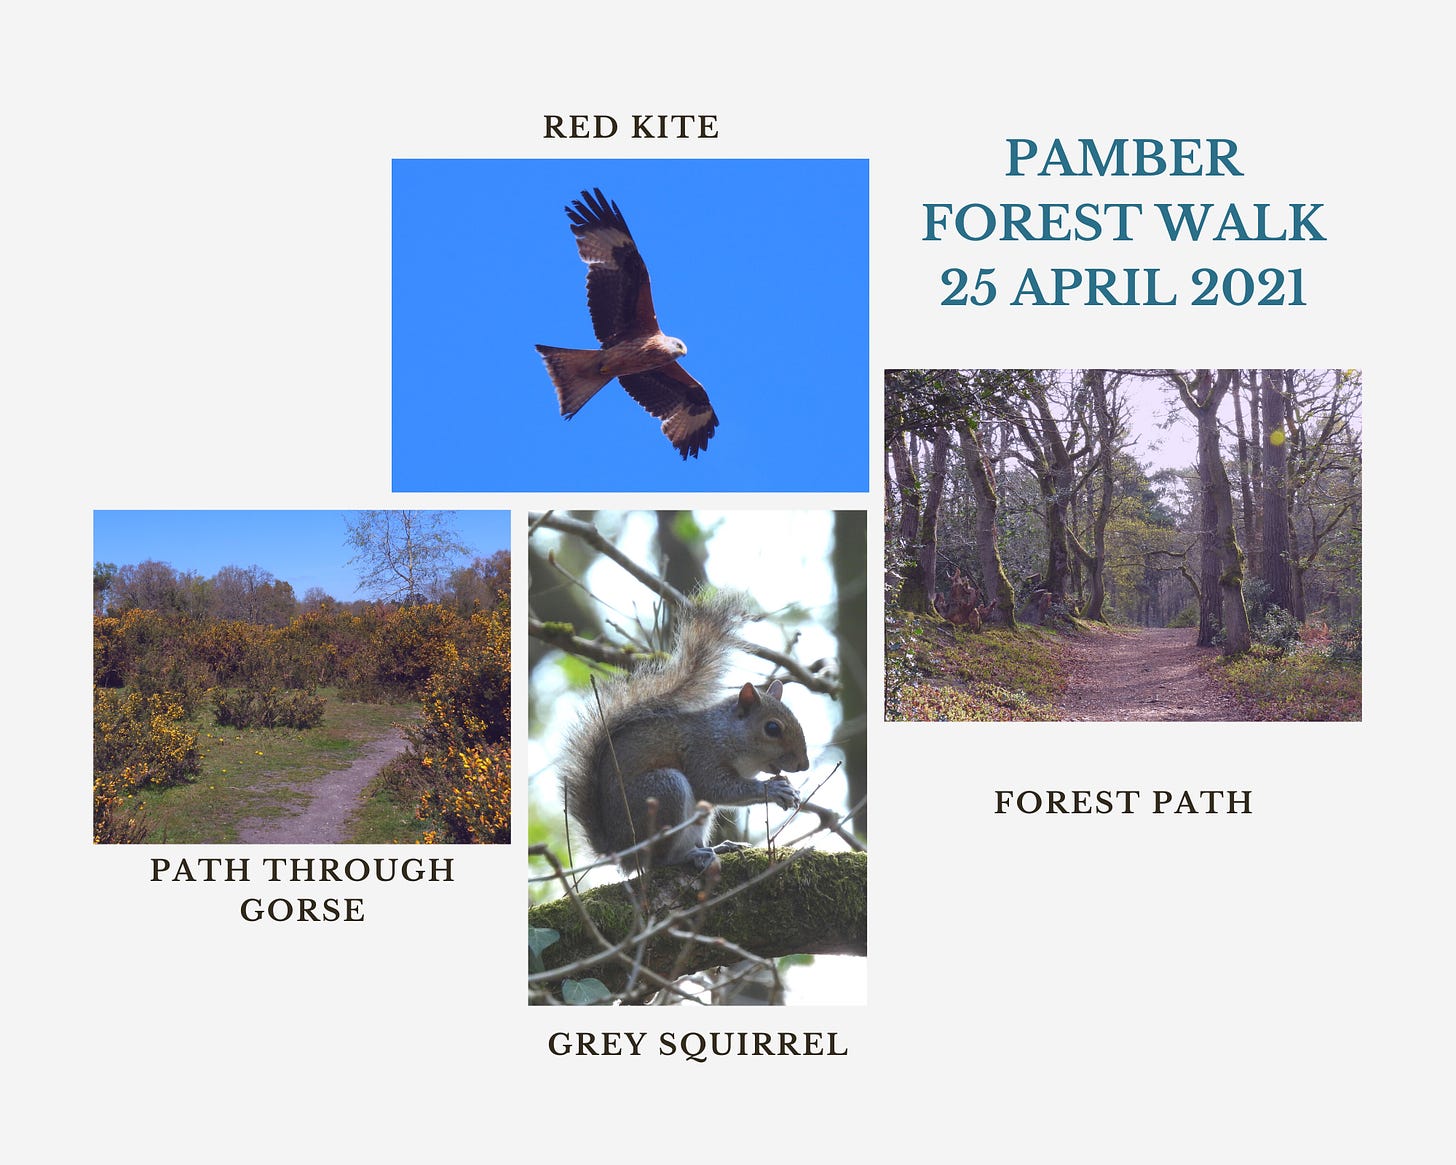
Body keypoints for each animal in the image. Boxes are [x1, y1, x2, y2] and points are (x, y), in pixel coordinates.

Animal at [559, 591, 815, 873]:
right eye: (772, 728)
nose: (803, 765)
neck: (725, 734)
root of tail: (621, 851)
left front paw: (788, 788)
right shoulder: (702, 753)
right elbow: (716, 788)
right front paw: (773, 789)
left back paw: (717, 847)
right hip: (664, 791)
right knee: (658, 861)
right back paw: (689, 856)